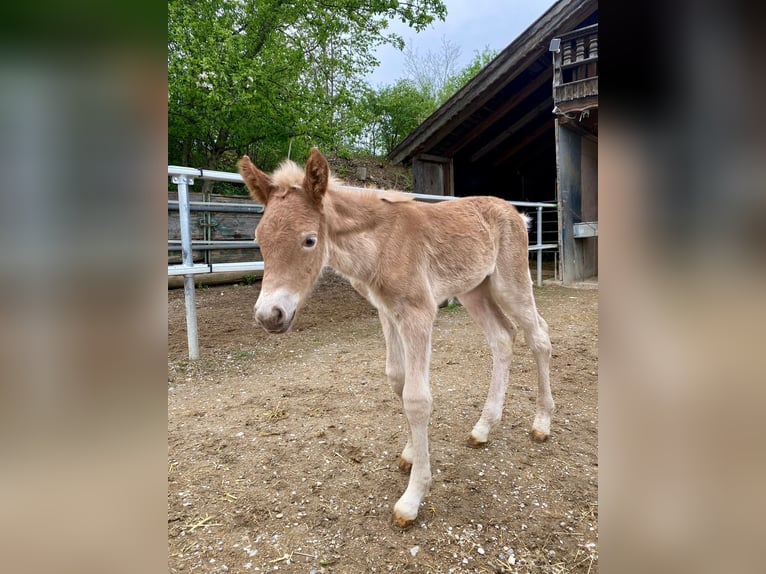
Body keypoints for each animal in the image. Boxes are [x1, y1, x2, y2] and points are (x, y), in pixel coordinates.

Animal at [237, 150, 556, 532]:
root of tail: (516, 213)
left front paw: (412, 498)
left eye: (309, 239)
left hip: (510, 282)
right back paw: (482, 428)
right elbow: (397, 380)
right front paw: (410, 453)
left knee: (538, 336)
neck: (381, 244)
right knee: (502, 337)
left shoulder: (418, 313)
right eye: (259, 239)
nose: (269, 315)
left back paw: (541, 424)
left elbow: (416, 398)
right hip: (474, 289)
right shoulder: (387, 312)